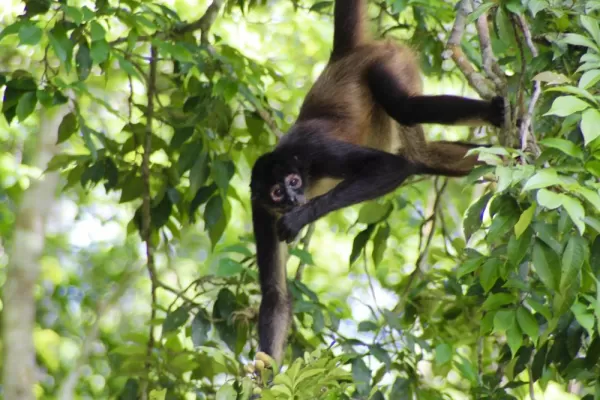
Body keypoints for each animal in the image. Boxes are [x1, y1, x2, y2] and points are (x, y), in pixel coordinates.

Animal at [248, 0, 506, 366]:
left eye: (295, 181)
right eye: (276, 191)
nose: (294, 199)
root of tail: (342, 56)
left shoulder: (315, 153)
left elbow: (392, 166)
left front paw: (300, 218)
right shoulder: (261, 209)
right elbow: (275, 295)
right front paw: (265, 373)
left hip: (385, 63)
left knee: (406, 109)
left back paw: (494, 113)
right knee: (423, 156)